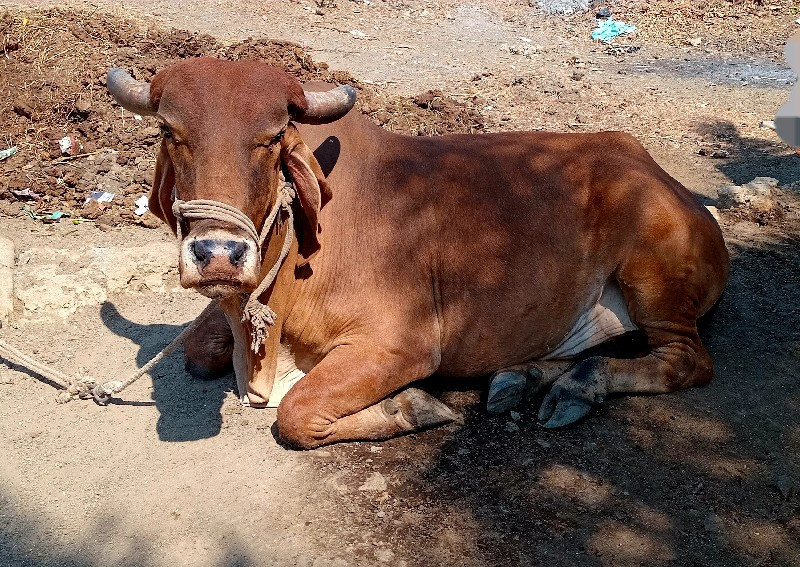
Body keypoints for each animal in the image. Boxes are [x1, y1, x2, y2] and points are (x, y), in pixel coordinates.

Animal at [108, 56, 732, 448]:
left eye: (273, 137)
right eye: (170, 132)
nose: (218, 254)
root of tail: (661, 175)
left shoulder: (401, 344)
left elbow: (296, 412)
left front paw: (413, 406)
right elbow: (195, 349)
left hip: (653, 281)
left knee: (686, 360)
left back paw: (583, 384)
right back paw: (524, 378)